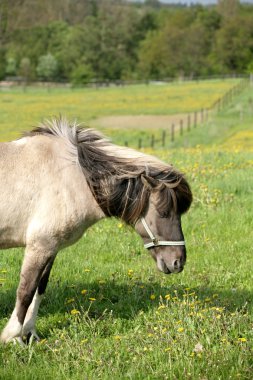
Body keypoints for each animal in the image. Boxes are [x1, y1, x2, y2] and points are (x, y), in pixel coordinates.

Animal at [0, 117, 192, 342]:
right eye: (163, 212)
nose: (178, 262)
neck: (73, 178)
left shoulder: (50, 248)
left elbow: (39, 289)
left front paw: (30, 333)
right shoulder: (39, 247)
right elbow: (26, 292)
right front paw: (13, 337)